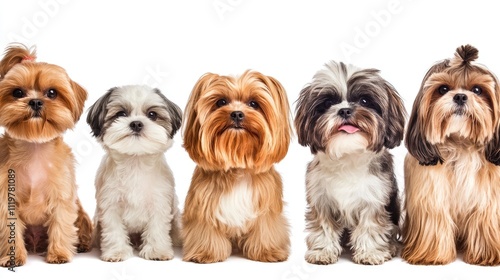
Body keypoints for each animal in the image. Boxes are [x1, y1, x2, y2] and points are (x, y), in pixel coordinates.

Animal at [0, 44, 93, 266]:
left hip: (81, 215)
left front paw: (58, 253)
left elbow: (61, 223)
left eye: (52, 92)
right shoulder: (6, 197)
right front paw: (13, 256)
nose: (35, 102)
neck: (34, 147)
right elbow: (9, 229)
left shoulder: (62, 195)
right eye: (17, 92)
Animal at [183, 69, 292, 262]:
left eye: (253, 103)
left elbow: (265, 229)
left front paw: (267, 251)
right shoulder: (203, 206)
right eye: (221, 102)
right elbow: (205, 231)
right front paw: (205, 252)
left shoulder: (266, 207)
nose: (236, 114)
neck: (237, 167)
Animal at [402, 44, 500, 266]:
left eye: (477, 90)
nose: (461, 96)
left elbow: (484, 220)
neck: (461, 144)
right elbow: (435, 221)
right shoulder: (431, 196)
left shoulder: (488, 199)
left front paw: (486, 255)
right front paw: (432, 256)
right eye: (443, 89)